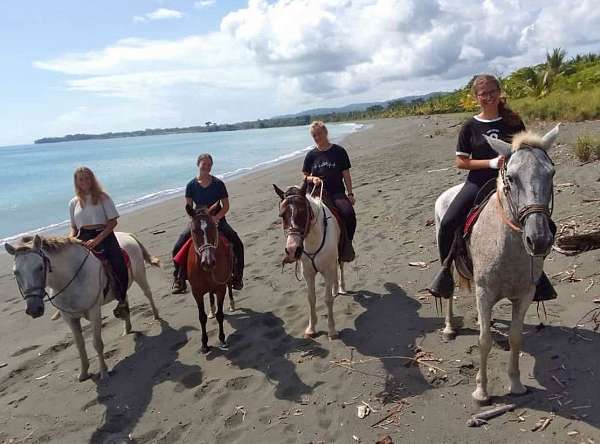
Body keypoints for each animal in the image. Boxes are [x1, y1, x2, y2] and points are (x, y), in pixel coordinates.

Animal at [5, 232, 161, 382]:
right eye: (15, 272)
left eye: (40, 267)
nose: (34, 309)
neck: (70, 278)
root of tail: (127, 234)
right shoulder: (69, 318)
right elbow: (80, 346)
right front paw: (83, 374)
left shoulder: (94, 312)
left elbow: (97, 343)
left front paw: (104, 372)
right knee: (125, 299)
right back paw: (126, 329)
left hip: (140, 275)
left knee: (148, 294)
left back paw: (156, 316)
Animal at [186, 205, 233, 354]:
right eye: (194, 230)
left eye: (213, 227)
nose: (208, 262)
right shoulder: (197, 292)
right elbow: (202, 317)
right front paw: (204, 344)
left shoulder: (220, 288)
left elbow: (220, 314)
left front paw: (222, 339)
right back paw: (211, 310)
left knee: (230, 286)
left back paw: (232, 304)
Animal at [274, 182, 346, 338]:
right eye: (282, 215)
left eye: (302, 212)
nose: (293, 249)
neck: (313, 239)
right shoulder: (308, 273)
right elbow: (311, 299)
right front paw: (311, 328)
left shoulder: (327, 270)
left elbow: (327, 299)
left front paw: (331, 330)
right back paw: (335, 289)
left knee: (341, 265)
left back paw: (341, 288)